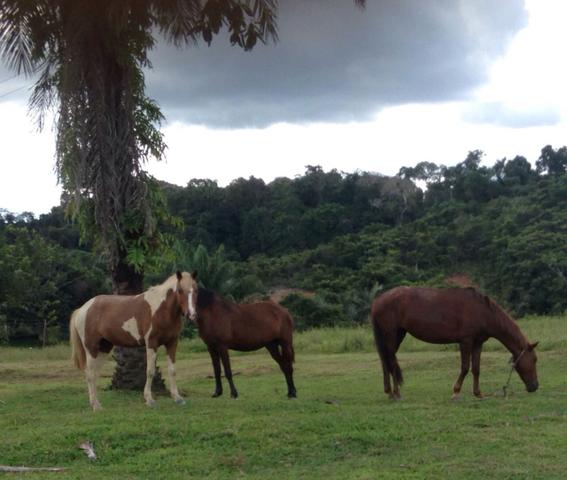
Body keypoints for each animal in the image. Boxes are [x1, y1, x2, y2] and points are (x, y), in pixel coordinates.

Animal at [70, 272, 199, 410]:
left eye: (196, 290)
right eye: (180, 290)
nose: (191, 314)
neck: (161, 309)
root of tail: (83, 309)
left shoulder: (172, 342)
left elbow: (172, 370)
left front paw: (178, 398)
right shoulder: (151, 343)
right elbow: (150, 371)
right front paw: (149, 400)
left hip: (104, 348)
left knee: (94, 374)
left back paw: (97, 403)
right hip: (91, 348)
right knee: (90, 374)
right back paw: (95, 405)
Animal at [370, 286, 540, 400]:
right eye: (534, 360)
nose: (535, 386)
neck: (483, 312)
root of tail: (378, 300)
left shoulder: (478, 343)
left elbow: (476, 369)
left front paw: (478, 393)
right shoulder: (465, 341)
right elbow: (465, 367)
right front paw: (456, 391)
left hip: (399, 334)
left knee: (386, 361)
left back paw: (389, 392)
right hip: (391, 334)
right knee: (391, 361)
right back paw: (397, 393)